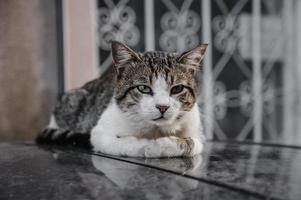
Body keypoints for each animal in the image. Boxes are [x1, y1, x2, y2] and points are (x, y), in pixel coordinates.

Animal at [35, 41, 206, 158]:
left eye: (177, 89)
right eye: (143, 88)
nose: (162, 106)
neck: (157, 129)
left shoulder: (196, 130)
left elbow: (194, 143)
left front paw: (170, 143)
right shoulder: (100, 134)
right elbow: (130, 144)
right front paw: (155, 146)